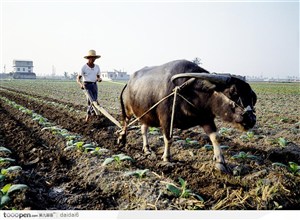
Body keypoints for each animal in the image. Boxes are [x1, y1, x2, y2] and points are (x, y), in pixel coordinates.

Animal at [118, 59, 256, 173]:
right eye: (233, 92)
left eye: (252, 97)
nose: (251, 119)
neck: (192, 91)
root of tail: (129, 82)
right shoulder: (166, 120)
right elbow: (168, 139)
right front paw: (166, 158)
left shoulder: (206, 119)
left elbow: (215, 137)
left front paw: (220, 161)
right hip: (128, 110)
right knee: (125, 123)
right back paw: (121, 139)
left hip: (145, 114)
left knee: (143, 129)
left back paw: (147, 149)